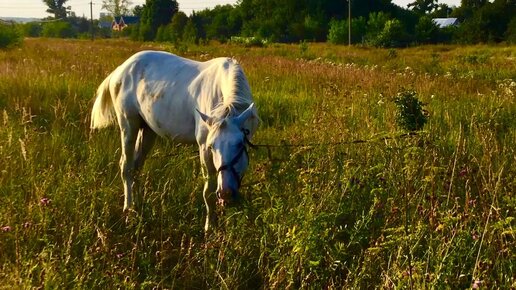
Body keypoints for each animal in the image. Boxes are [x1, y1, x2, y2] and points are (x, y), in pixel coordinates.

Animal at [89, 50, 258, 231]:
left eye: (240, 144)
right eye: (212, 147)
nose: (225, 192)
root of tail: (121, 69)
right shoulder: (203, 149)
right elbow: (209, 192)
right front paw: (209, 228)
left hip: (147, 130)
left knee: (136, 167)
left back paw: (139, 205)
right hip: (129, 125)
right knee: (126, 166)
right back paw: (129, 210)